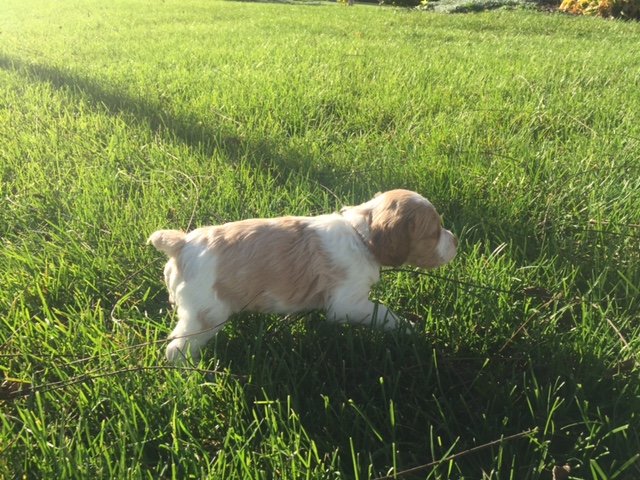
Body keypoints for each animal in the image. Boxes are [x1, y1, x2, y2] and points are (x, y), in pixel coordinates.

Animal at [148, 189, 458, 362]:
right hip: (204, 315)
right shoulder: (348, 304)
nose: (455, 241)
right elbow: (383, 313)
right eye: (434, 232)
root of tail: (181, 244)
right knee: (176, 349)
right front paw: (409, 328)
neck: (360, 235)